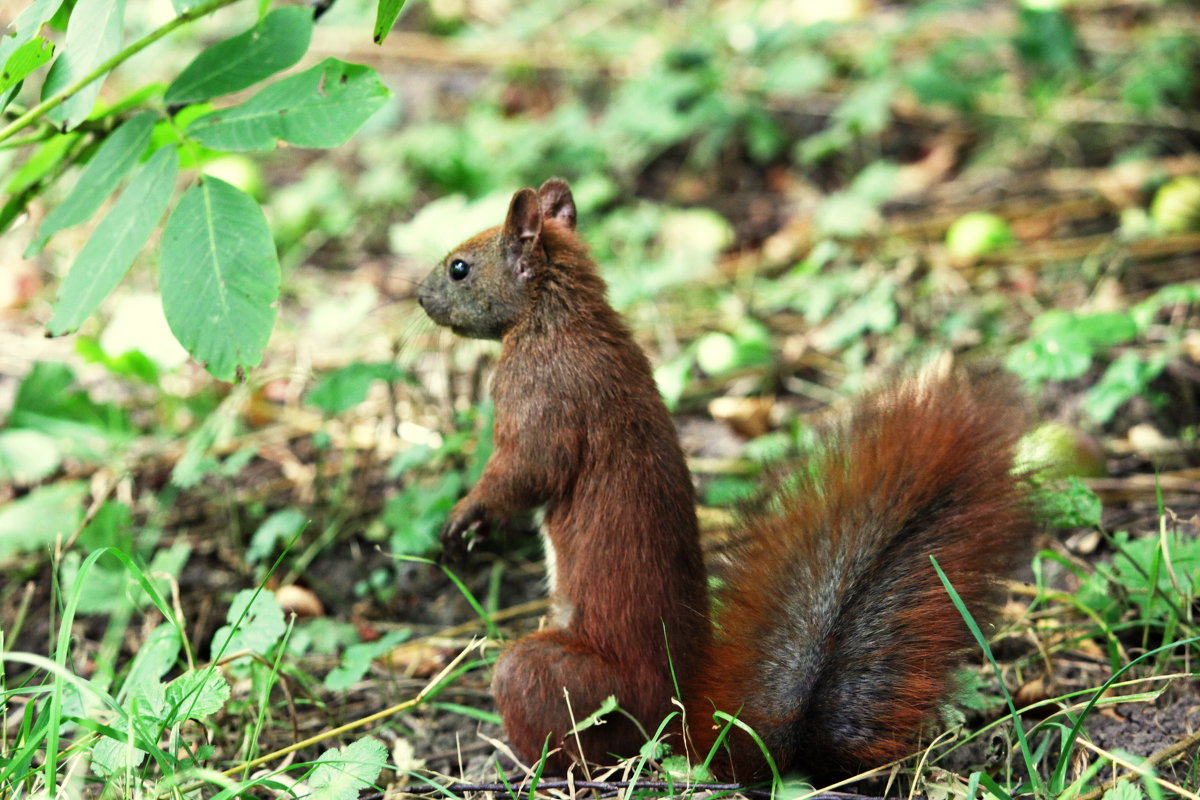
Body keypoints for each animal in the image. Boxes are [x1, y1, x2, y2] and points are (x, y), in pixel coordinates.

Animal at [415, 176, 1032, 782]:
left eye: (459, 267)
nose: (419, 297)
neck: (559, 316)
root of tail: (682, 725)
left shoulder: (538, 395)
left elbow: (525, 470)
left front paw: (465, 516)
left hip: (549, 677)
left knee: (581, 740)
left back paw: (525, 767)